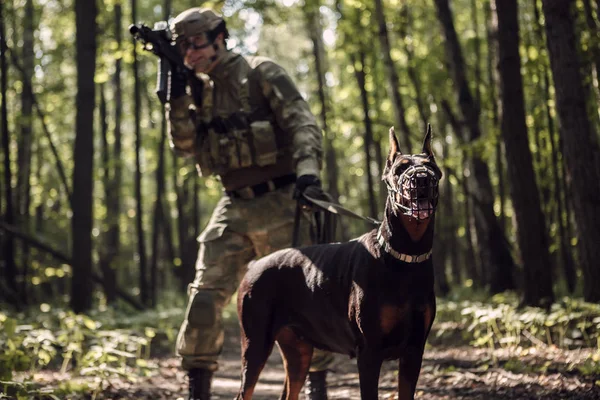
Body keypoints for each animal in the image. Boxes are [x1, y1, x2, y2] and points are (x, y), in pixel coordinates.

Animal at [237, 126, 442, 400]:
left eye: (432, 167)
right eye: (400, 169)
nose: (421, 179)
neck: (405, 257)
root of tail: (253, 266)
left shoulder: (414, 350)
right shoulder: (369, 352)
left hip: (298, 350)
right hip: (256, 343)